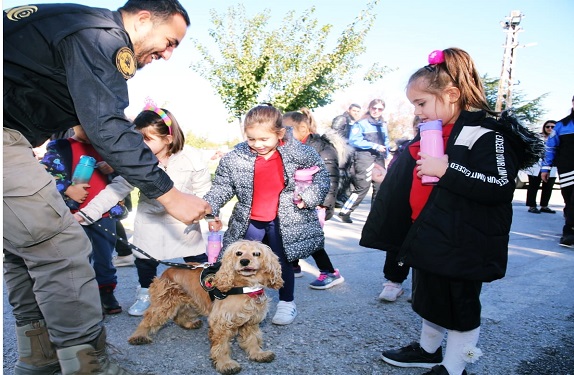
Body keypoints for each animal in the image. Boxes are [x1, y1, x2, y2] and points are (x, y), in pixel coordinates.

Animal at [129, 239, 284, 374]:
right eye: (238, 253)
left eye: (256, 253)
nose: (244, 261)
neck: (246, 286)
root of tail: (168, 270)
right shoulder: (221, 322)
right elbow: (221, 346)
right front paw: (226, 364)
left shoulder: (251, 320)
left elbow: (253, 339)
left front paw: (258, 354)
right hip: (165, 304)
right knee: (148, 318)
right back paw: (139, 336)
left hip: (192, 302)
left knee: (179, 315)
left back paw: (189, 324)